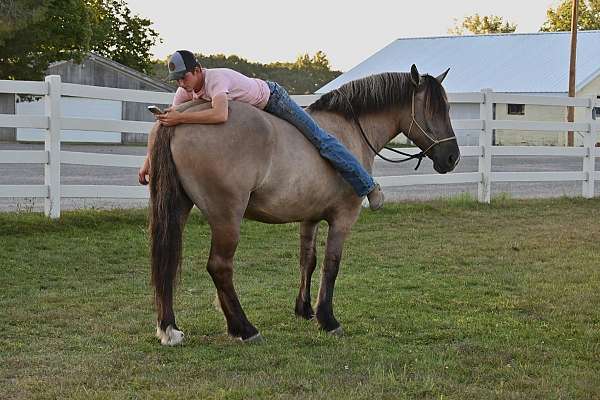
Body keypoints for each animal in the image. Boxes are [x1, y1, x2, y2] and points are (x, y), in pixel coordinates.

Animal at [149, 65, 460, 344]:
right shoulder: (342, 218)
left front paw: (305, 309)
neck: (350, 129)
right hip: (227, 217)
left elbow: (307, 262)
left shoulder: (310, 218)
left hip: (179, 209)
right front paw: (328, 319)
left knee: (168, 262)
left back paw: (171, 328)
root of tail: (177, 117)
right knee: (219, 267)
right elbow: (331, 265)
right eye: (435, 110)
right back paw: (244, 329)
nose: (452, 158)